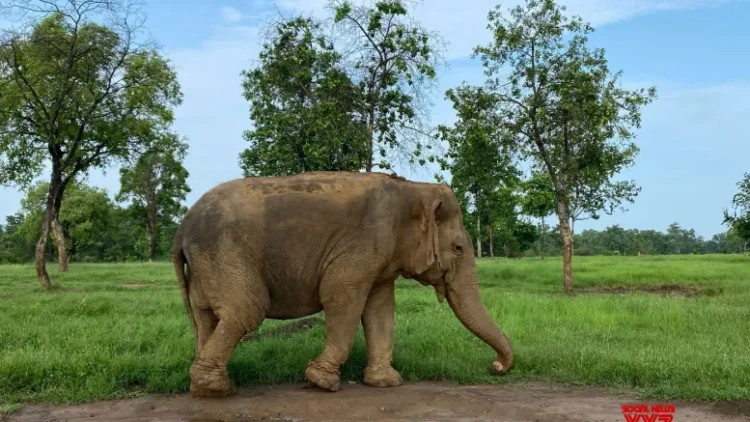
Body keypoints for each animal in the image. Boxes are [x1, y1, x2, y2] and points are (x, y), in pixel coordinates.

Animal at [172, 171, 514, 398]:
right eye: (458, 248)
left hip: (206, 266)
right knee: (245, 311)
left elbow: (380, 309)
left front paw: (386, 383)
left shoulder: (382, 259)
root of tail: (181, 227)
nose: (495, 367)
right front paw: (322, 382)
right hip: (225, 254)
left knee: (207, 317)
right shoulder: (362, 245)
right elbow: (342, 298)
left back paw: (209, 386)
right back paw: (216, 390)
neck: (414, 188)